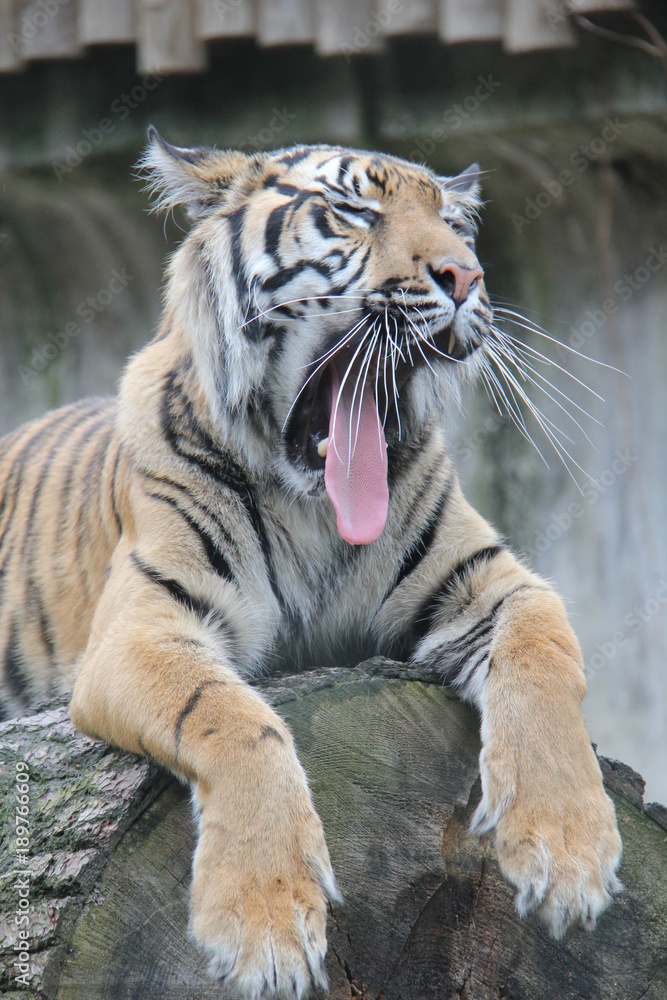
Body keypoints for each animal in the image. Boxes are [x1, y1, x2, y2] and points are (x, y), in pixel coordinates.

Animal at [0, 128, 622, 1000]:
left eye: (451, 222)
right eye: (355, 212)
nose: (465, 278)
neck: (314, 512)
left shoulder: (491, 578)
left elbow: (544, 655)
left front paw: (567, 853)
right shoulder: (143, 626)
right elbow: (234, 718)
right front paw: (262, 923)